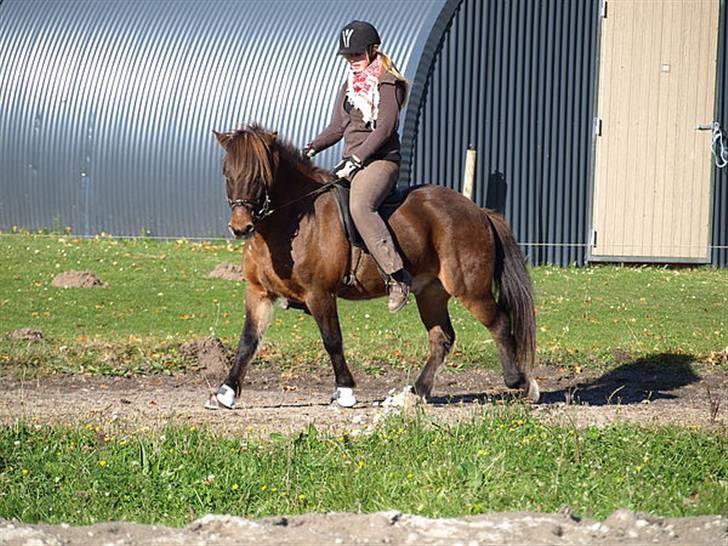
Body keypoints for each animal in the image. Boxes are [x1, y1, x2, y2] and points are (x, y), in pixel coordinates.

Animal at [208, 124, 536, 408]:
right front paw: (225, 392)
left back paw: (520, 382)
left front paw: (344, 391)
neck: (290, 222)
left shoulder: (319, 294)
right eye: (227, 173)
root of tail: (478, 211)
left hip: (470, 289)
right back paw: (416, 392)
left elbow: (332, 340)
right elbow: (248, 341)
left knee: (499, 322)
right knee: (441, 338)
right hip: (431, 292)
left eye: (260, 175)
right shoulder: (258, 292)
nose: (240, 227)